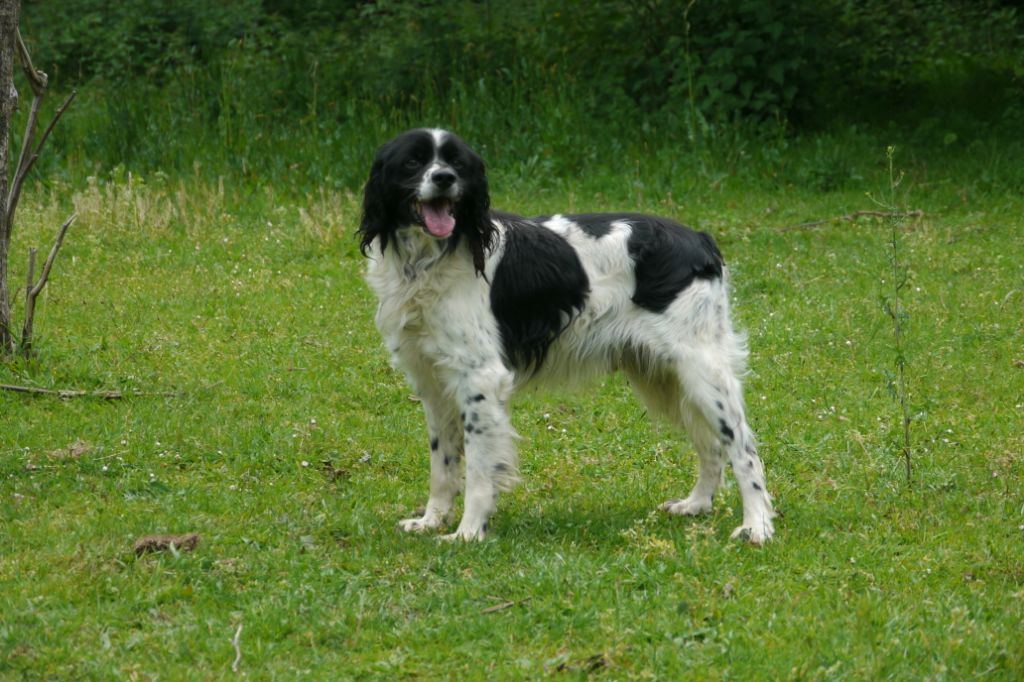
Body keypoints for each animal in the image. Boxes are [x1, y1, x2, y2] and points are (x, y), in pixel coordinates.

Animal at [360, 127, 774, 540]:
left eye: (456, 163)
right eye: (413, 161)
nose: (444, 178)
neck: (432, 260)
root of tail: (700, 239)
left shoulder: (480, 378)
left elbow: (478, 470)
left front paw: (468, 532)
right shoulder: (433, 383)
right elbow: (442, 464)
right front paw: (432, 520)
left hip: (700, 370)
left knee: (743, 448)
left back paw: (756, 525)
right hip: (664, 376)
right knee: (712, 446)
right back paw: (697, 504)